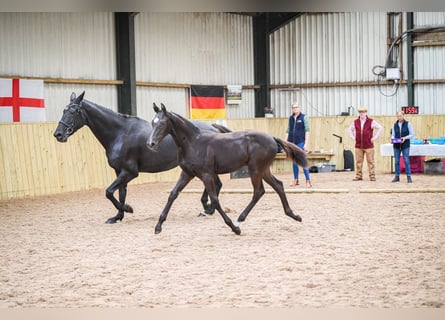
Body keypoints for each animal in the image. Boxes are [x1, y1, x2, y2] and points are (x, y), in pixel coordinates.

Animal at [54, 91, 229, 224]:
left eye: (72, 111)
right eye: (63, 111)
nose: (58, 134)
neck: (120, 133)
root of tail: (213, 127)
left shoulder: (130, 172)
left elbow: (109, 192)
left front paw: (128, 209)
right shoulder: (120, 171)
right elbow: (120, 193)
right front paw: (117, 217)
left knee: (216, 184)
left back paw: (208, 209)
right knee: (217, 184)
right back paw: (208, 208)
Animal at [147, 102, 306, 235]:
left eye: (162, 123)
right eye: (152, 122)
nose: (151, 144)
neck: (193, 143)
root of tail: (272, 138)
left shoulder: (206, 174)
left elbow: (215, 200)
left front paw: (234, 228)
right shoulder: (187, 173)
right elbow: (173, 194)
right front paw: (158, 226)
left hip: (255, 169)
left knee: (259, 191)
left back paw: (240, 220)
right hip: (263, 169)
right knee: (278, 185)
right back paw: (294, 215)